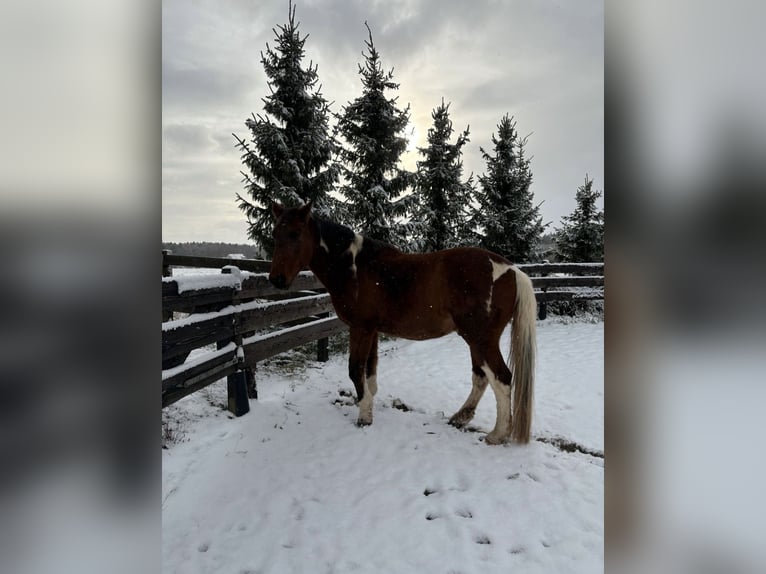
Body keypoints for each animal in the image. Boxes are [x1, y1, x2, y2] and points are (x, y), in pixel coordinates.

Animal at [268, 201, 537, 444]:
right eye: (275, 234)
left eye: (295, 234)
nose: (276, 280)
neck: (355, 267)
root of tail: (513, 270)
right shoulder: (372, 331)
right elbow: (370, 370)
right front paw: (368, 403)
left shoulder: (360, 328)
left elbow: (355, 369)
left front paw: (364, 416)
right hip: (474, 339)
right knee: (481, 376)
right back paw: (460, 417)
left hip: (481, 338)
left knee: (501, 378)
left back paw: (497, 434)